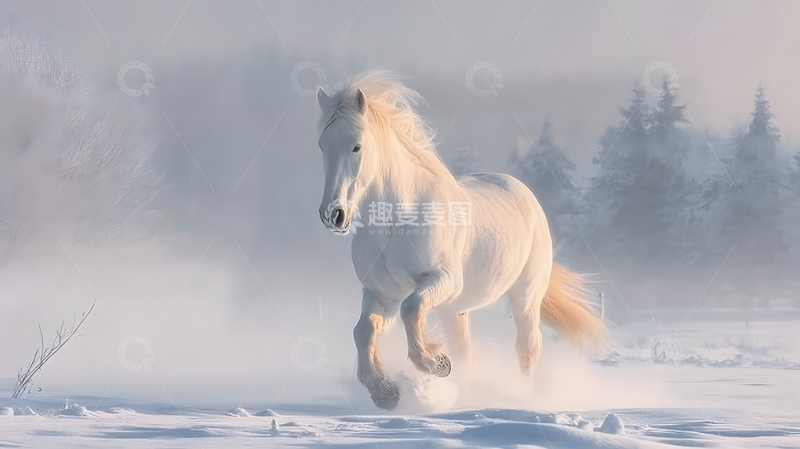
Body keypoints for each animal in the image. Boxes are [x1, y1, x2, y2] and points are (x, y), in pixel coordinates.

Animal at [315, 71, 605, 410]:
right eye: (322, 145)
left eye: (356, 147)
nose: (333, 215)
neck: (398, 220)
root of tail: (523, 192)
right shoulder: (381, 292)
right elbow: (363, 331)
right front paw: (386, 392)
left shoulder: (443, 279)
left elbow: (411, 309)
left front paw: (436, 363)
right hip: (455, 309)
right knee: (467, 353)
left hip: (525, 295)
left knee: (528, 346)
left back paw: (522, 397)